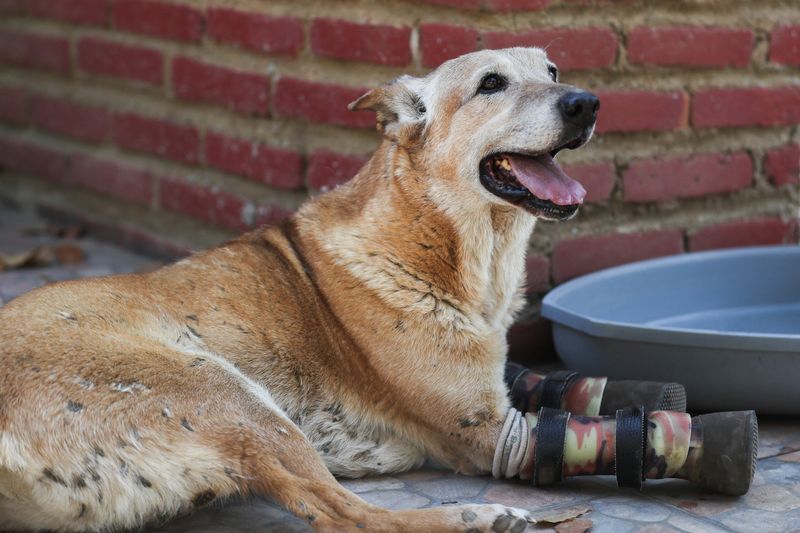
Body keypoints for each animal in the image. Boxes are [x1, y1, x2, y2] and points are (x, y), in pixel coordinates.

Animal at [0, 47, 600, 528]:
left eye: (551, 70)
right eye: (491, 83)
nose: (587, 101)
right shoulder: (486, 433)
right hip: (229, 393)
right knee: (350, 516)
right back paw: (475, 516)